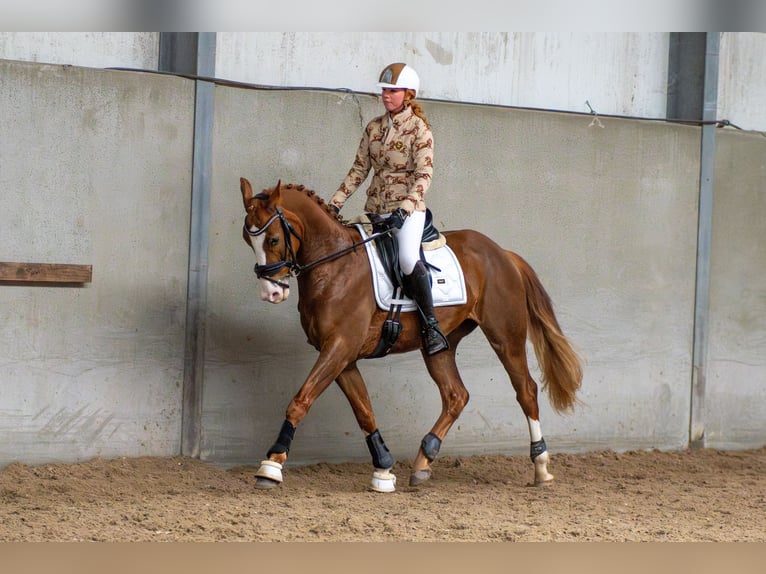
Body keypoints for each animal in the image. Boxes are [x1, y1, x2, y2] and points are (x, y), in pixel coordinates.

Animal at [240, 178, 584, 492]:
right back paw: (422, 462)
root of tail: (502, 253)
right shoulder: (342, 357)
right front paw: (383, 470)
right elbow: (364, 410)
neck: (335, 264)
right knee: (456, 395)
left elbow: (301, 399)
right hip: (440, 346)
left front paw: (271, 466)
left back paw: (541, 467)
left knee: (525, 390)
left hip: (505, 336)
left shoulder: (338, 347)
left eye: (273, 239)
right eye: (247, 239)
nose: (271, 293)